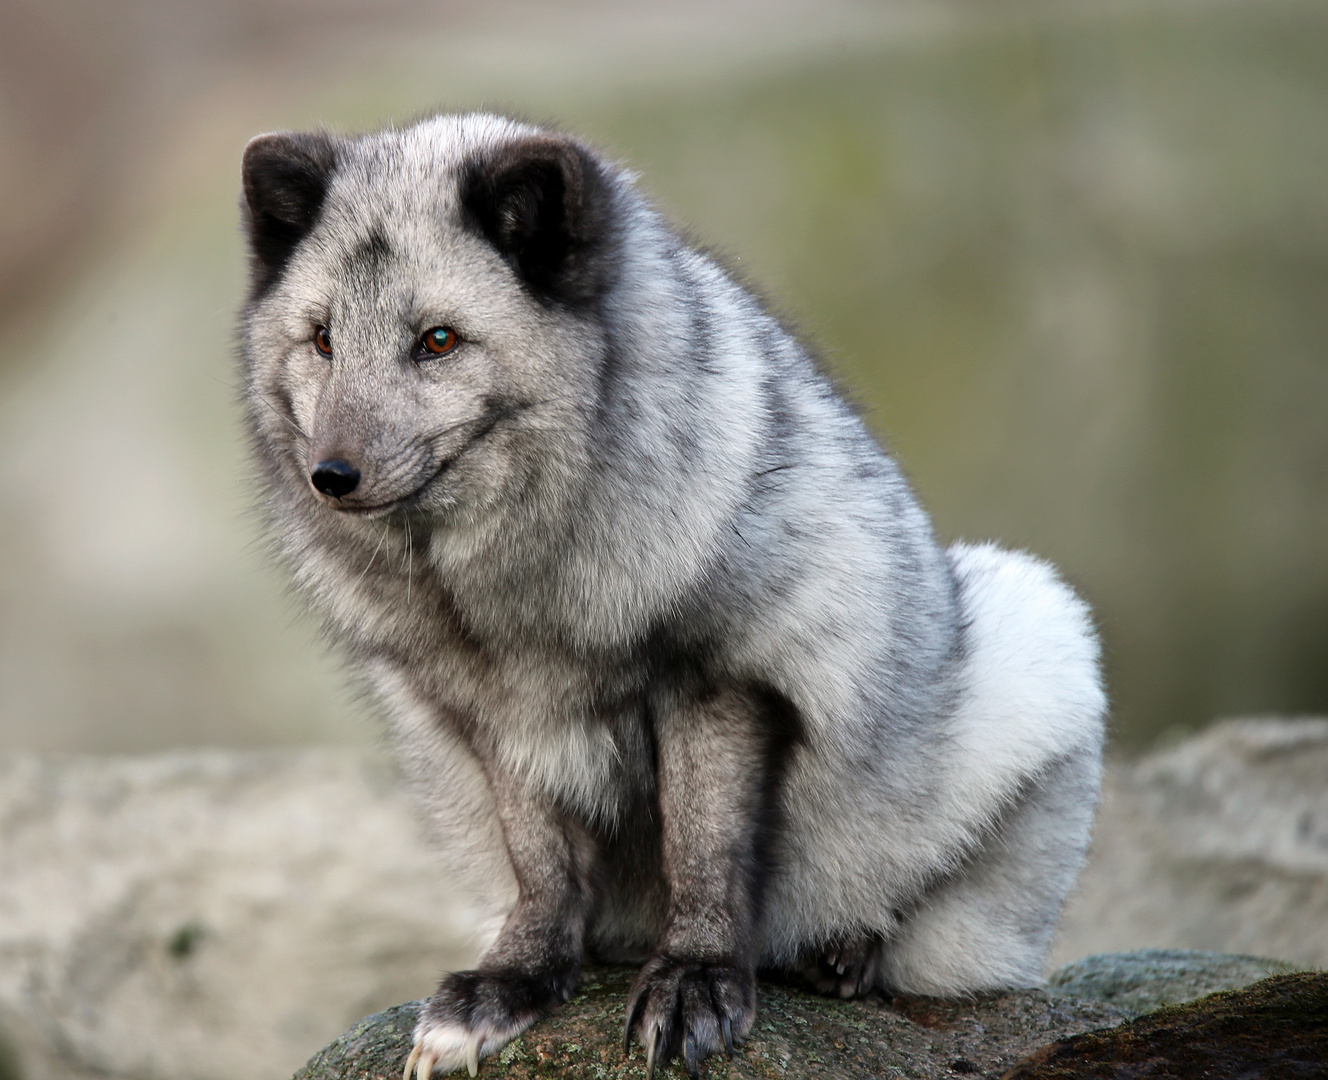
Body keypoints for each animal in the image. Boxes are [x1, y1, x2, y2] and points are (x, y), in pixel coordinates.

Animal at [241, 111, 1110, 1078]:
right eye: (322, 339)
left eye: (438, 340)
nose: (331, 476)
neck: (508, 597)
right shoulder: (494, 713)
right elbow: (539, 863)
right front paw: (514, 982)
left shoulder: (719, 672)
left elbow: (704, 841)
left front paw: (696, 977)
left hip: (1032, 627)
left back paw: (847, 949)